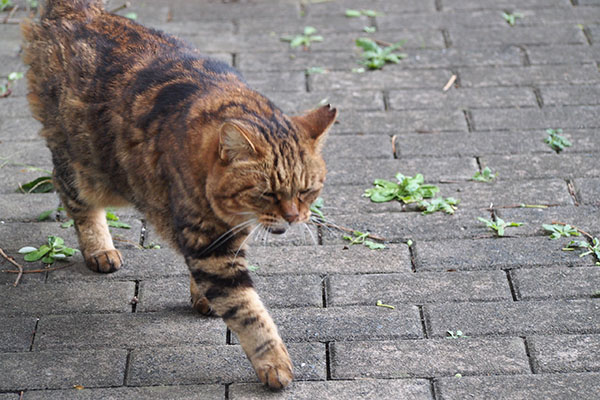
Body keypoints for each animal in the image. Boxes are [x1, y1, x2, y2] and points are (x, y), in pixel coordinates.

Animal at [19, 0, 338, 390]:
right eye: (267, 193)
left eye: (307, 190)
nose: (294, 217)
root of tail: (78, 11)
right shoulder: (210, 247)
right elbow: (249, 312)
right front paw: (274, 362)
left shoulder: (221, 238)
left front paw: (202, 298)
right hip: (88, 171)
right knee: (71, 195)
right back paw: (100, 250)